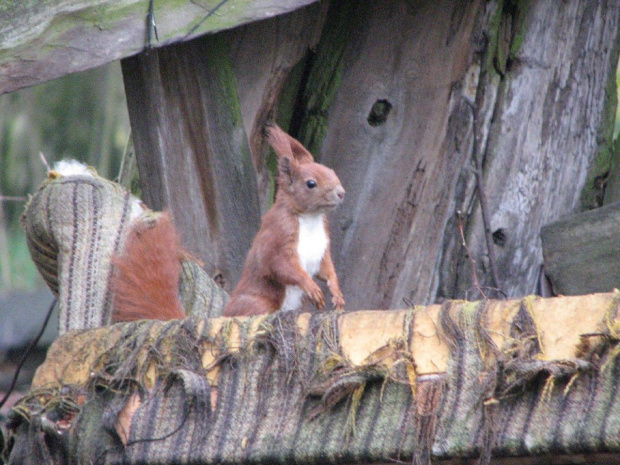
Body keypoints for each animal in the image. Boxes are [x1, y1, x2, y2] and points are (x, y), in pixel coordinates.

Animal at [225, 124, 346, 316]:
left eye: (331, 171)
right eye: (310, 184)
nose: (341, 193)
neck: (310, 218)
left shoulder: (323, 245)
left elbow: (327, 268)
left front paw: (337, 293)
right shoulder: (279, 231)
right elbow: (278, 263)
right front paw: (311, 287)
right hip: (258, 303)